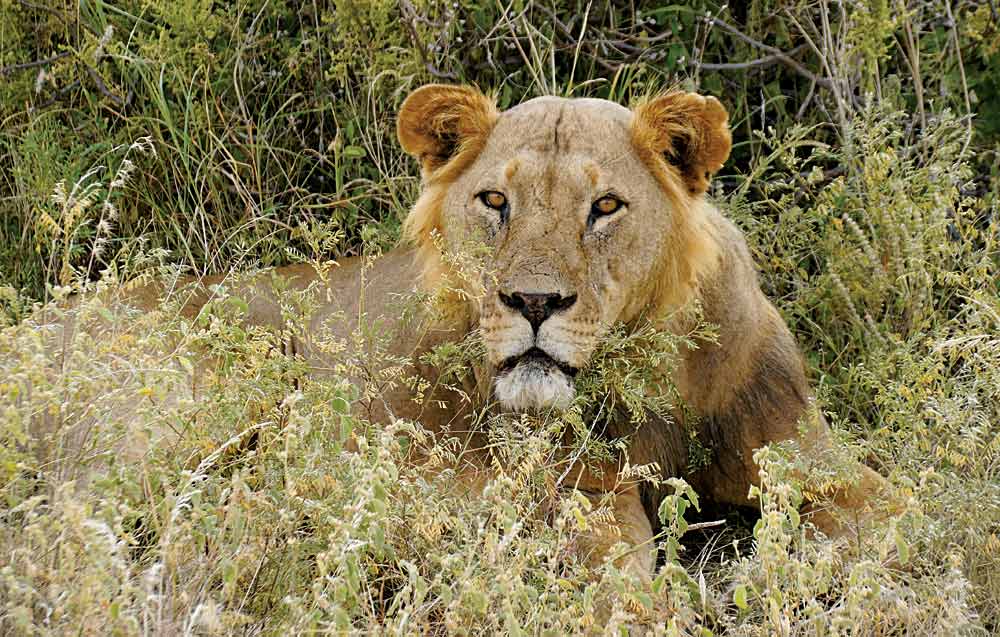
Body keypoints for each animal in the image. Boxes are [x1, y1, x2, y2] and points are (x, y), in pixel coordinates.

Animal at [27, 84, 892, 580]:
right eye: (495, 202)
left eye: (606, 206)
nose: (533, 301)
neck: (644, 372)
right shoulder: (567, 496)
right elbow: (627, 577)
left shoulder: (803, 451)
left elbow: (893, 514)